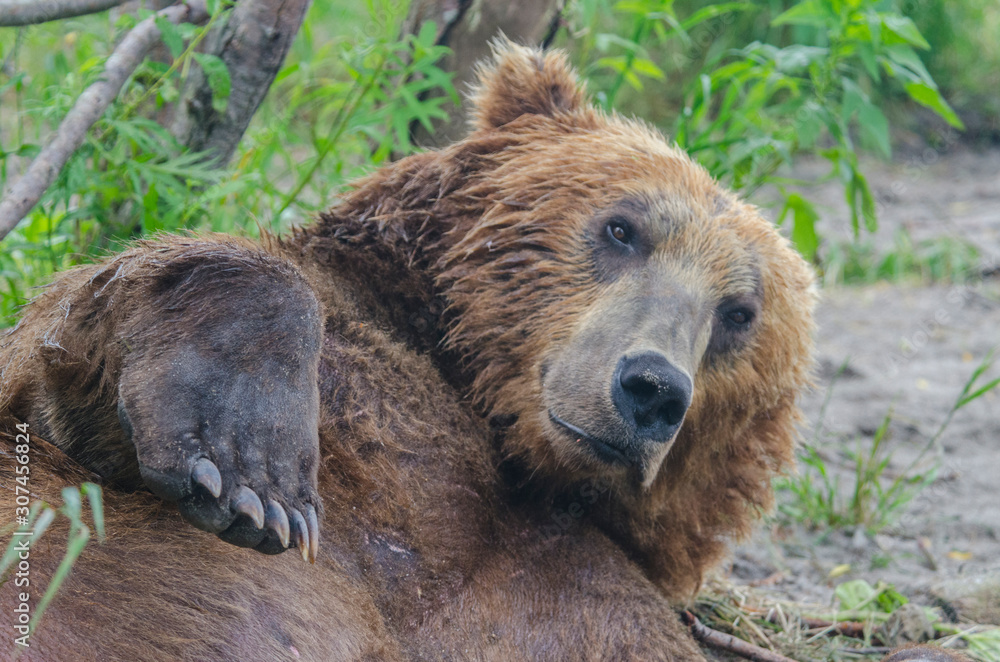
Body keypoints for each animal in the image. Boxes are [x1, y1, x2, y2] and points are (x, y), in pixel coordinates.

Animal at [0, 42, 815, 660]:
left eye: (739, 312)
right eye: (622, 228)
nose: (651, 389)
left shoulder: (589, 597)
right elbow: (59, 377)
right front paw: (250, 476)